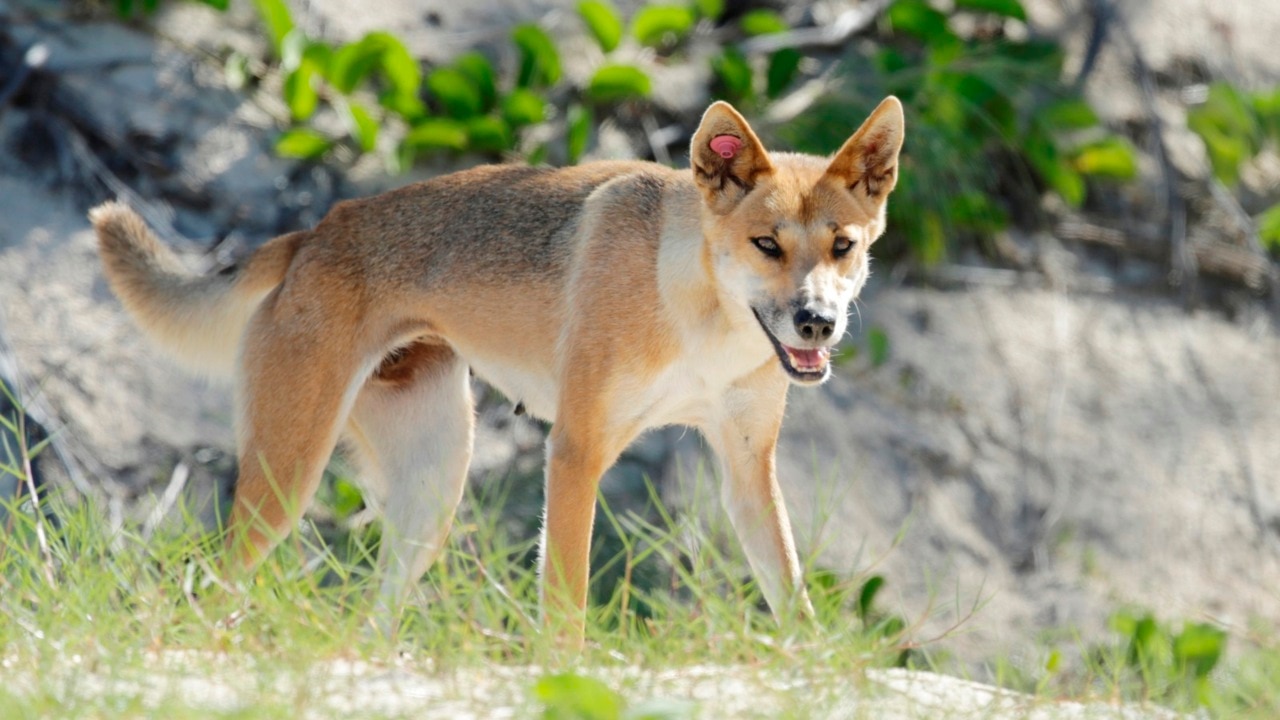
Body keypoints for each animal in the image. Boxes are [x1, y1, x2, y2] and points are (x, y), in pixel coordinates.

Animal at [90, 98, 906, 640]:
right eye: (767, 244)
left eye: (843, 246)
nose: (817, 322)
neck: (697, 318)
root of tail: (314, 233)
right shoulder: (576, 453)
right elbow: (565, 611)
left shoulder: (745, 468)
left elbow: (793, 597)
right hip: (288, 482)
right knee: (206, 584)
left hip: (431, 497)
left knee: (370, 618)